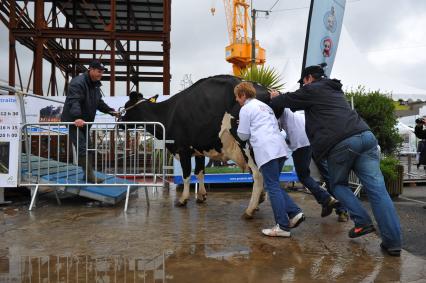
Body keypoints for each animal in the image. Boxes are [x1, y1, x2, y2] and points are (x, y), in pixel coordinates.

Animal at [120, 74, 282, 219]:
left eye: (127, 107)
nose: (120, 121)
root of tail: (268, 90)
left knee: (258, 174)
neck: (168, 115)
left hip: (247, 145)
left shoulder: (183, 149)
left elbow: (186, 175)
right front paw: (201, 196)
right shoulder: (199, 150)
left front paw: (183, 199)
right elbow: (199, 172)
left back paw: (250, 209)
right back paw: (260, 200)